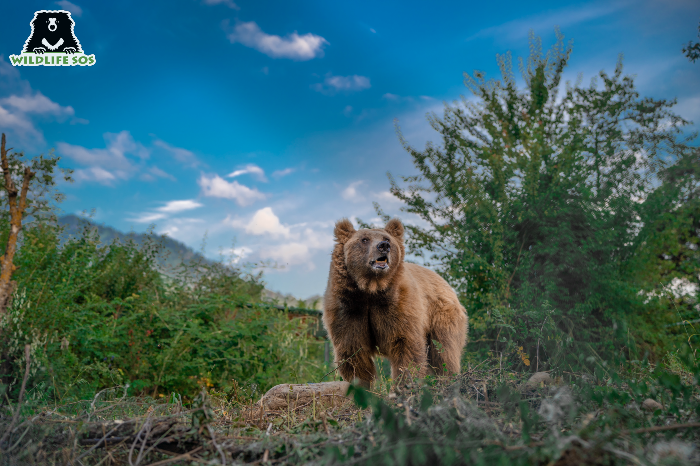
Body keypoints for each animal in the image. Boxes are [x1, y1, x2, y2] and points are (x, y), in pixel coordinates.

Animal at [324, 218, 470, 388]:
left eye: (387, 239)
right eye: (364, 239)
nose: (383, 246)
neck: (371, 289)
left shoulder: (398, 305)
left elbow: (406, 345)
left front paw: (404, 384)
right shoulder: (349, 308)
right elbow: (353, 350)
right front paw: (362, 385)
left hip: (441, 316)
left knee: (444, 351)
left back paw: (449, 380)